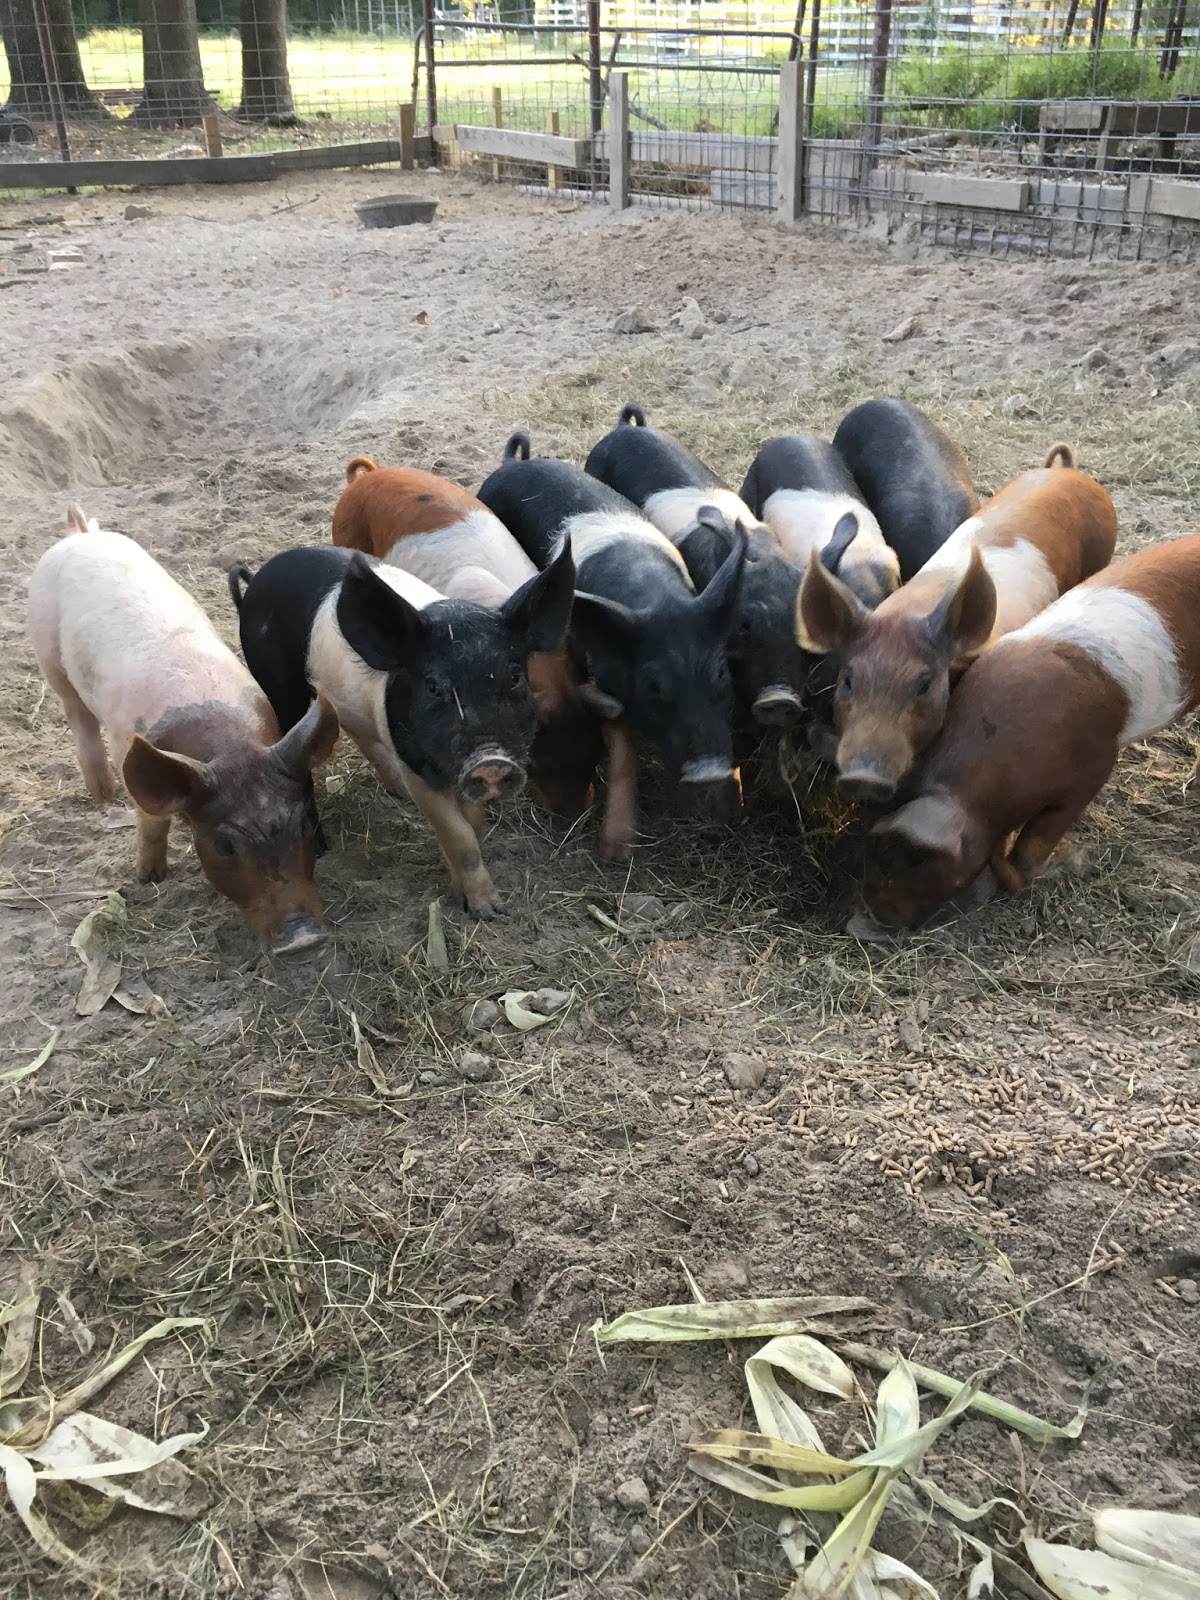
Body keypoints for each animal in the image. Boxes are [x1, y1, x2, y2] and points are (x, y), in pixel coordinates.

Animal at [28, 509, 339, 954]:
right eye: (225, 845)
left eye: (301, 827)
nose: (304, 937)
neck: (227, 746)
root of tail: (80, 534)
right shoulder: (128, 748)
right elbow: (151, 820)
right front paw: (148, 877)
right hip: (48, 652)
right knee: (76, 713)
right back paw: (102, 795)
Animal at [229, 539, 573, 918]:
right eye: (433, 686)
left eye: (514, 676)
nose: (490, 760)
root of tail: (256, 579)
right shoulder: (417, 768)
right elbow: (459, 835)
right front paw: (488, 912)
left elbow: (473, 825)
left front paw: (469, 898)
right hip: (277, 685)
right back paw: (320, 847)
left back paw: (397, 795)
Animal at [478, 433, 746, 856]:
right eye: (652, 684)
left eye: (721, 672)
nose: (710, 772)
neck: (652, 594)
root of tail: (510, 463)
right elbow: (622, 741)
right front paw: (617, 850)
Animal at [862, 534, 1200, 930]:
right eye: (876, 859)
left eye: (931, 871)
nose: (873, 920)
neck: (962, 794)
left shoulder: (1094, 769)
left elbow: (1038, 840)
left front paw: (1033, 874)